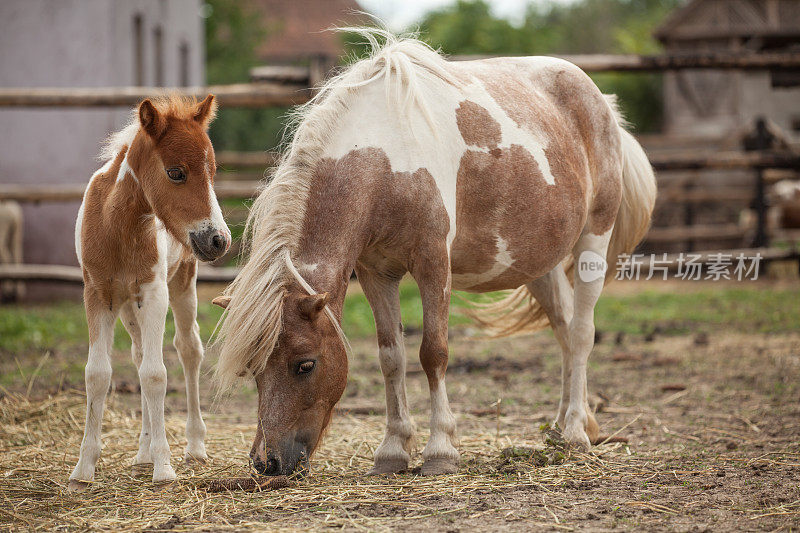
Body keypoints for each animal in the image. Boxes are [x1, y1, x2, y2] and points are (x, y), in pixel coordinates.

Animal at [69, 96, 231, 490]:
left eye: (212, 172)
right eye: (175, 173)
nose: (219, 239)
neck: (116, 227)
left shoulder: (155, 292)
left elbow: (156, 374)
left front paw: (164, 468)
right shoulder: (97, 294)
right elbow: (98, 374)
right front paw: (84, 469)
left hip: (182, 284)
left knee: (188, 350)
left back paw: (194, 446)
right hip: (129, 306)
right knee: (140, 354)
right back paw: (142, 453)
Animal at [214, 31, 656, 476]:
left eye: (305, 364)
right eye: (253, 369)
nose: (267, 462)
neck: (387, 157)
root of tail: (600, 101)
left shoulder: (433, 264)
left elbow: (434, 353)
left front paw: (441, 449)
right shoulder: (376, 272)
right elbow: (391, 356)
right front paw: (392, 451)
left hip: (593, 240)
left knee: (581, 333)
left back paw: (577, 432)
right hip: (538, 264)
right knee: (563, 330)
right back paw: (565, 427)